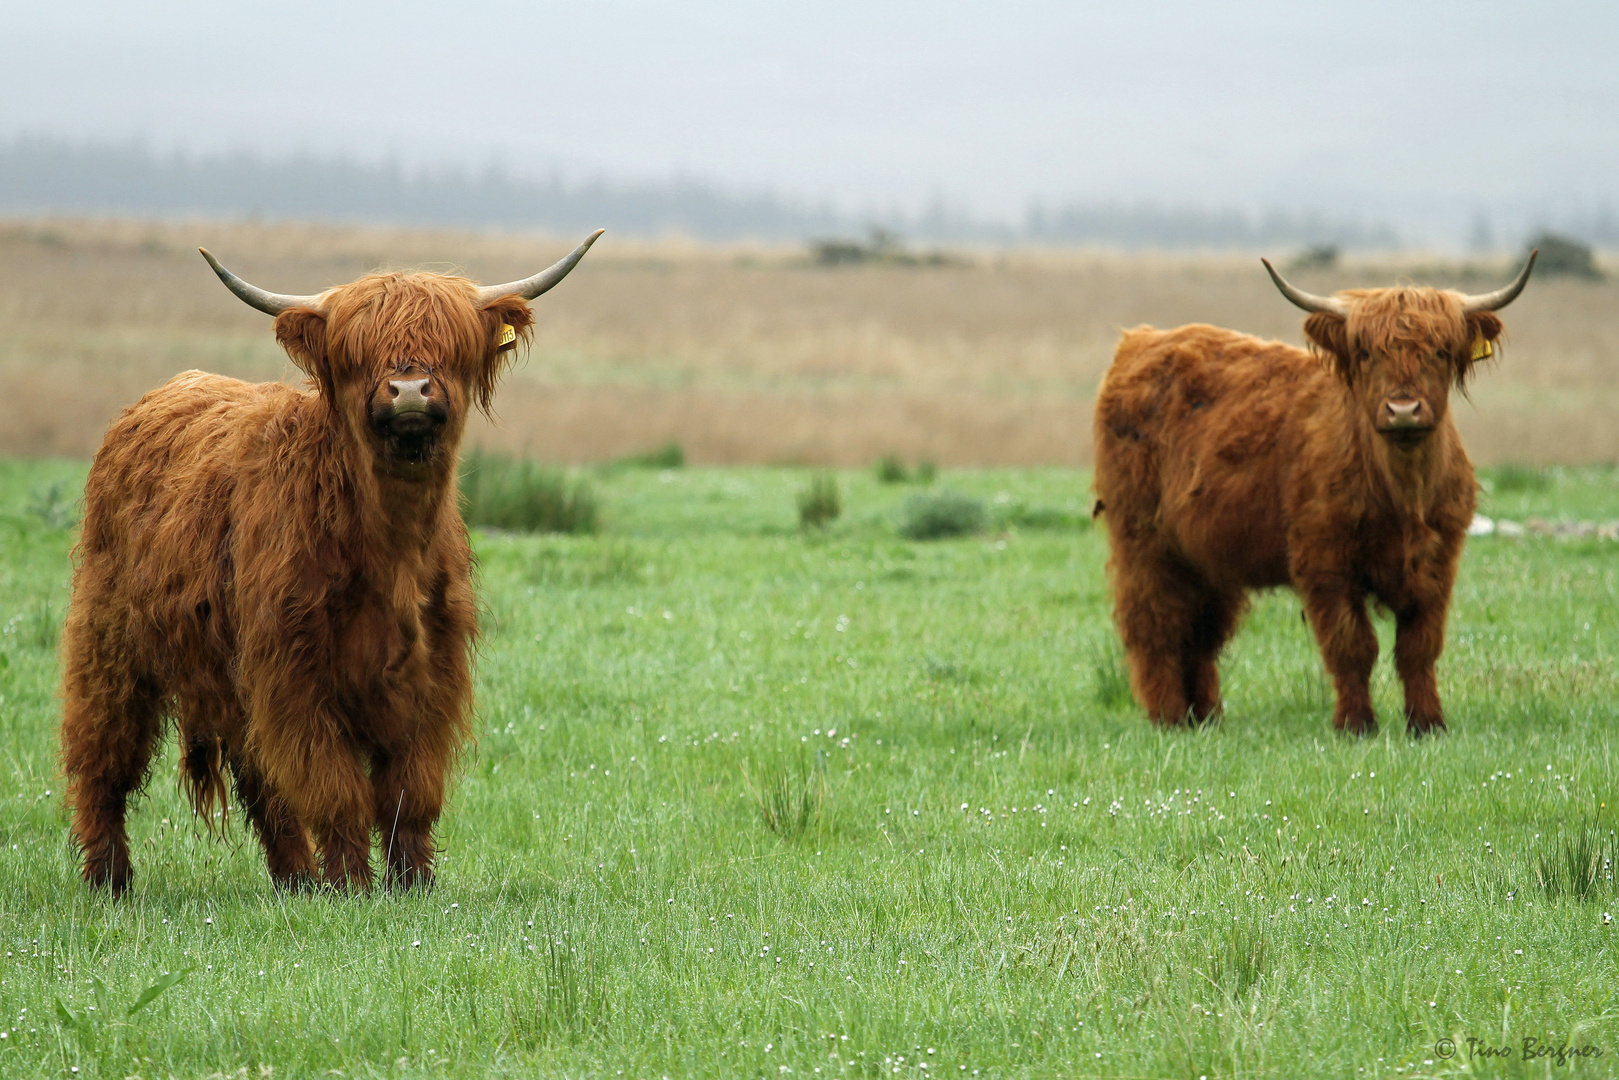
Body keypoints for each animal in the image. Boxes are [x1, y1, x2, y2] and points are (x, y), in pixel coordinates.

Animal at [57, 229, 605, 893]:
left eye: (448, 346)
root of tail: (160, 395)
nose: (410, 391)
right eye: (357, 354)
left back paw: (294, 878)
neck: (390, 549)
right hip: (111, 642)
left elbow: (409, 790)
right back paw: (108, 879)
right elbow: (333, 785)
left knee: (258, 775)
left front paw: (412, 883)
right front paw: (350, 885)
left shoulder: (432, 672)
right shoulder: (294, 671)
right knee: (103, 755)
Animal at [1094, 254, 1534, 735]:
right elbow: (1353, 645)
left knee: (1201, 634)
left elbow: (1419, 647)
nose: (1403, 410)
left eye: (1439, 351)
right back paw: (1170, 717)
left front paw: (1427, 723)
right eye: (1365, 353)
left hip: (1206, 558)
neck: (1403, 493)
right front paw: (1356, 724)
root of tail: (1142, 340)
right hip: (1146, 544)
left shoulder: (1438, 563)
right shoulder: (1325, 562)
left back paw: (1205, 717)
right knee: (1156, 626)